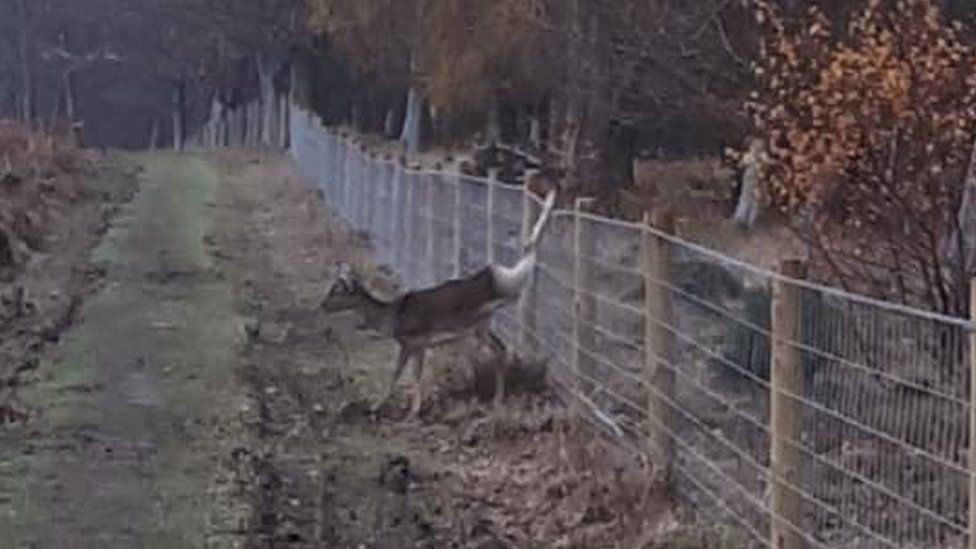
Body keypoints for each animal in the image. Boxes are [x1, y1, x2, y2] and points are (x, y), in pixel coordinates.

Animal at [321, 189, 557, 417]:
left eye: (336, 291)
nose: (322, 304)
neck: (391, 319)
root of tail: (488, 279)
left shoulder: (416, 341)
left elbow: (409, 375)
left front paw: (410, 411)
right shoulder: (410, 344)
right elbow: (398, 373)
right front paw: (378, 406)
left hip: (478, 317)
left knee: (511, 302)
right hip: (482, 326)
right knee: (501, 348)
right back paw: (498, 398)